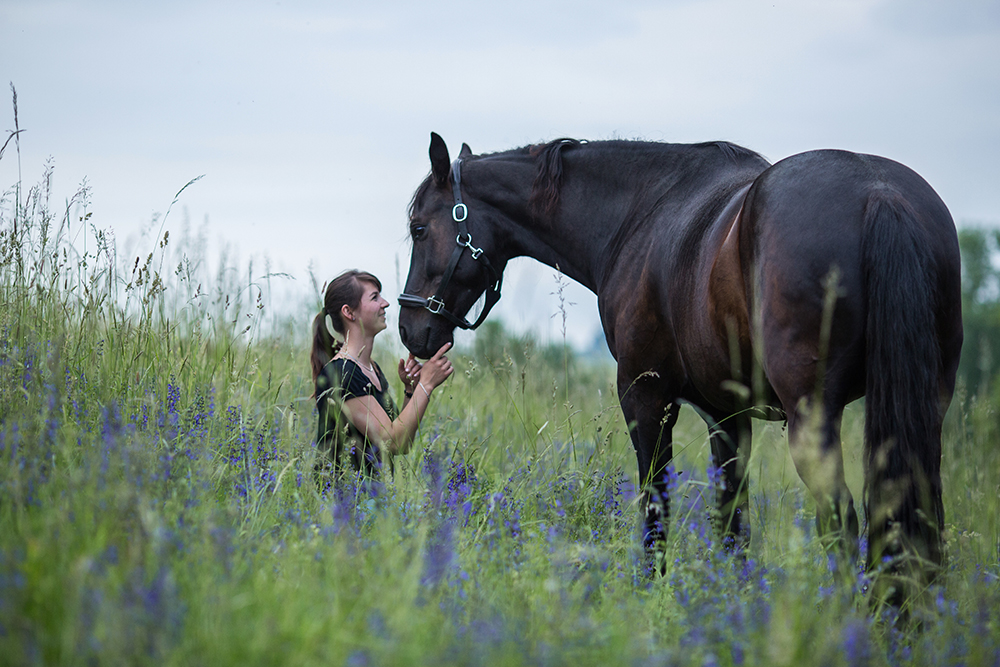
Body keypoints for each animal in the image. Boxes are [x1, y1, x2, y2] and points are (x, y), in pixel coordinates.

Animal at [396, 133, 960, 604]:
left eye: (420, 228)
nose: (409, 328)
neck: (637, 214)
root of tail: (880, 195)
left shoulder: (646, 398)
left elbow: (656, 506)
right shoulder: (727, 415)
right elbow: (732, 519)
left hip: (813, 418)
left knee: (842, 521)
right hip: (923, 409)